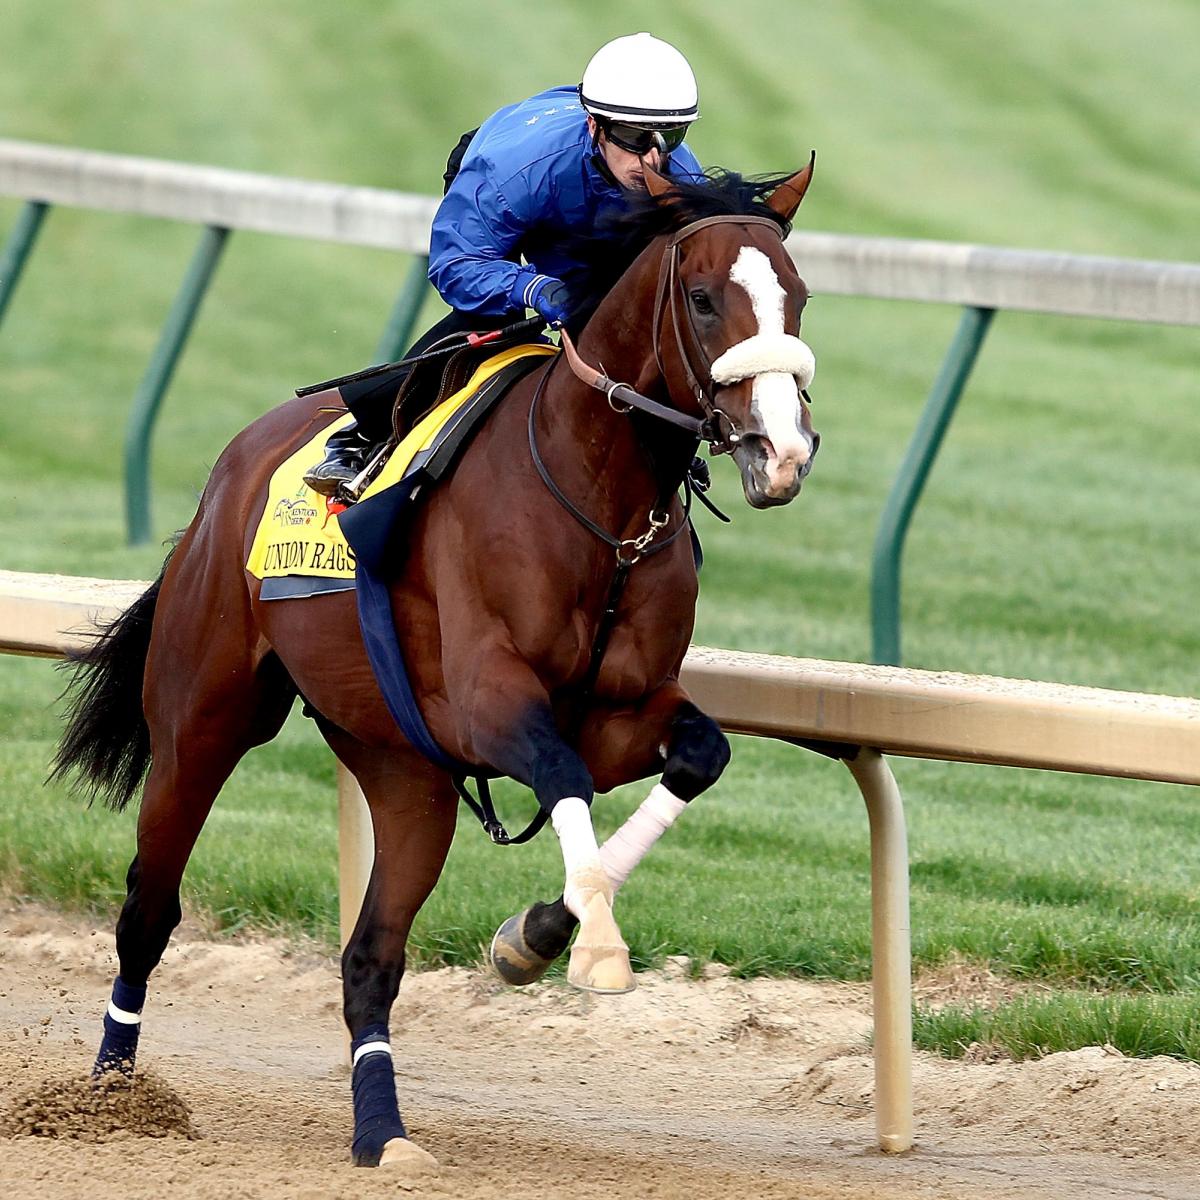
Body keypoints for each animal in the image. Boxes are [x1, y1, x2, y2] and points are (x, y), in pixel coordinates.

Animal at [58, 159, 825, 1171]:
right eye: (703, 299)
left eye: (800, 297)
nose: (783, 453)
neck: (599, 504)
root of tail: (230, 470)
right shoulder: (490, 702)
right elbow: (564, 774)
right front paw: (592, 948)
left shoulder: (618, 709)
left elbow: (697, 754)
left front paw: (534, 935)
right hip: (204, 717)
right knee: (150, 908)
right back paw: (110, 1096)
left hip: (402, 769)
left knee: (369, 958)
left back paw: (382, 1132)